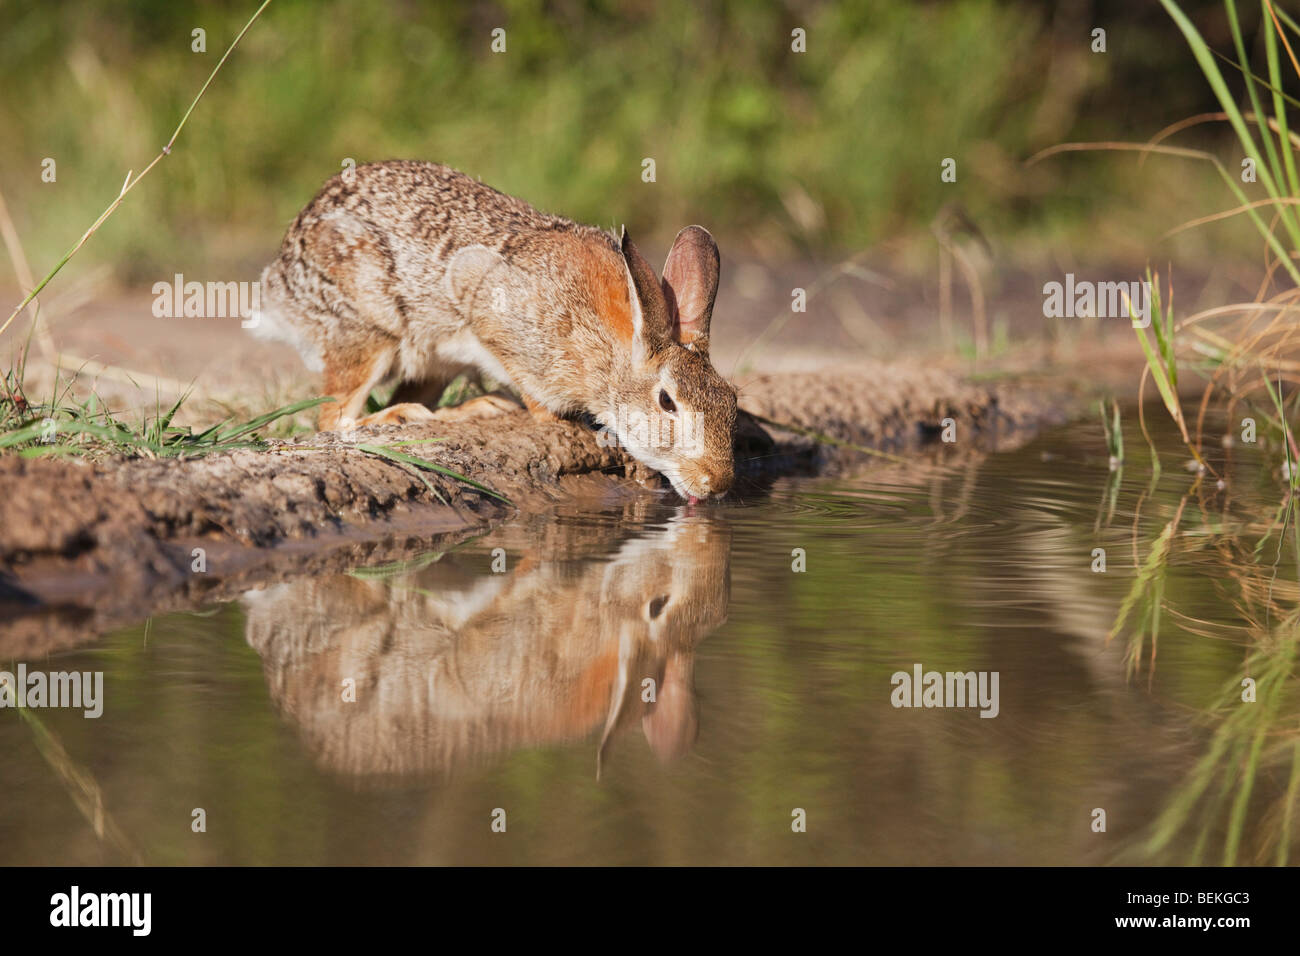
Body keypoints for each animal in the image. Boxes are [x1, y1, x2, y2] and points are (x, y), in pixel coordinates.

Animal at [249, 160, 738, 502]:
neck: (611, 351)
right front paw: (558, 421)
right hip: (369, 331)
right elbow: (530, 387)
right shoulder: (491, 313)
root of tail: (282, 280)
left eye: (732, 400)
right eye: (667, 402)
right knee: (335, 416)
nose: (718, 483)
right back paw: (408, 416)